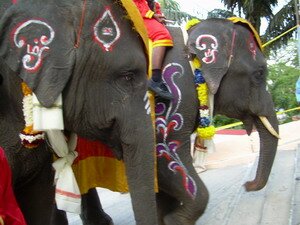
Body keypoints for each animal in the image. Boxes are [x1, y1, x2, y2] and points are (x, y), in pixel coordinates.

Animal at [69, 18, 278, 224]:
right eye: (259, 74)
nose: (247, 185)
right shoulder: (170, 101)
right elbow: (163, 153)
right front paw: (175, 218)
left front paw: (168, 215)